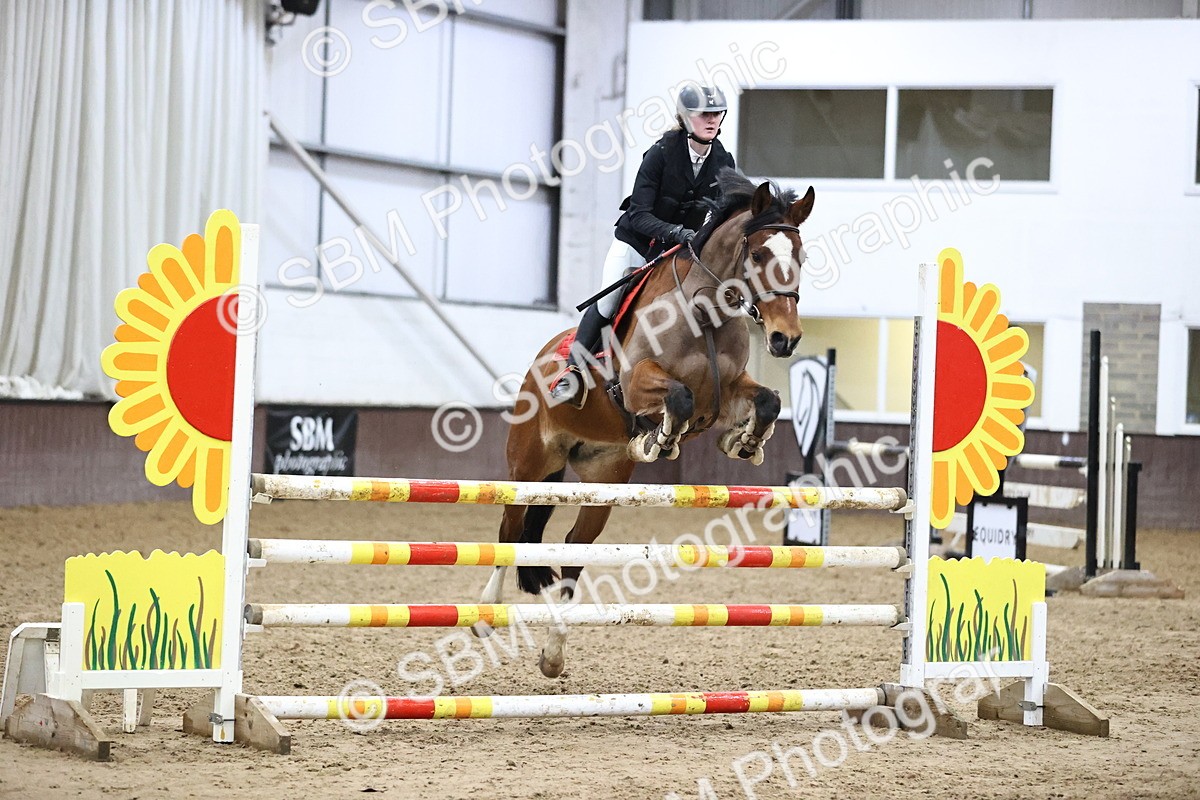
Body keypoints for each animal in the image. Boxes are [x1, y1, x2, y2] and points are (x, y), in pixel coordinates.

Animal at [474, 169, 815, 677]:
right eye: (757, 255)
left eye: (801, 256)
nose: (784, 339)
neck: (704, 312)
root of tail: (541, 360)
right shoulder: (637, 384)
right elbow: (678, 396)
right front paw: (661, 439)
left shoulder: (727, 391)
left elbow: (767, 401)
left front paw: (743, 442)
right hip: (529, 467)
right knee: (510, 531)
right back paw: (485, 614)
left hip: (603, 478)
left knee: (574, 548)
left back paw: (554, 654)